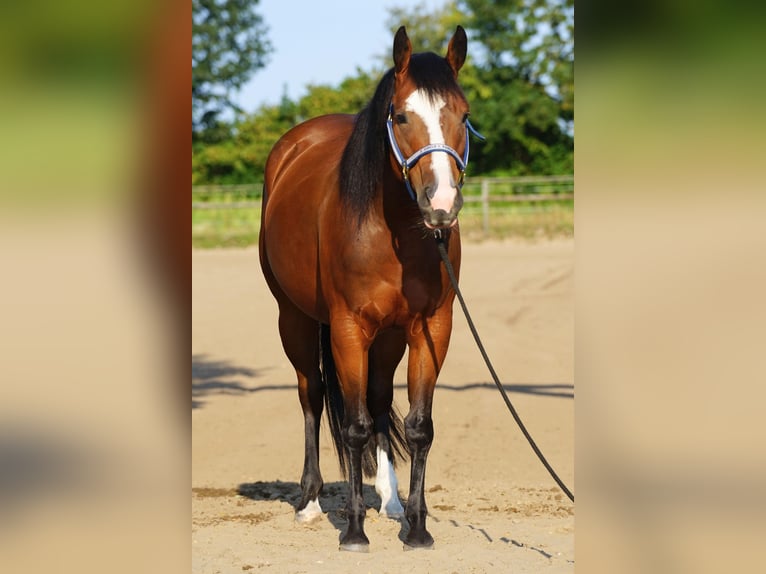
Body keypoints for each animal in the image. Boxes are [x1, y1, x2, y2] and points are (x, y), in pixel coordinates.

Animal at [259, 25, 480, 552]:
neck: (394, 230)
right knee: (313, 394)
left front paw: (416, 527)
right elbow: (354, 426)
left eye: (463, 116)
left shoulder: (430, 327)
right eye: (400, 116)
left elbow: (418, 427)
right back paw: (311, 501)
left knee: (379, 399)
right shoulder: (347, 328)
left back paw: (392, 500)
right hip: (294, 318)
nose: (442, 204)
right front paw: (355, 531)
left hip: (390, 336)